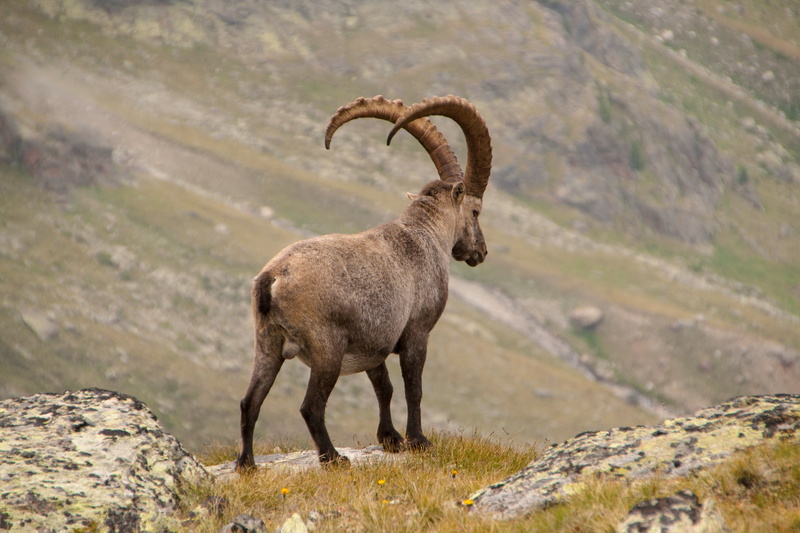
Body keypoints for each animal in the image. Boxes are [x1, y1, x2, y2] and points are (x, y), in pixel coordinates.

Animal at [237, 95, 492, 469]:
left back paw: (247, 464)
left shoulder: (376, 342)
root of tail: (272, 278)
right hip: (326, 348)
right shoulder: (416, 332)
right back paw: (333, 457)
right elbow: (412, 387)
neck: (423, 235)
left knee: (249, 402)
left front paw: (390, 439)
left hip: (267, 343)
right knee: (310, 407)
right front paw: (418, 441)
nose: (480, 252)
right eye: (475, 211)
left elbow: (383, 387)